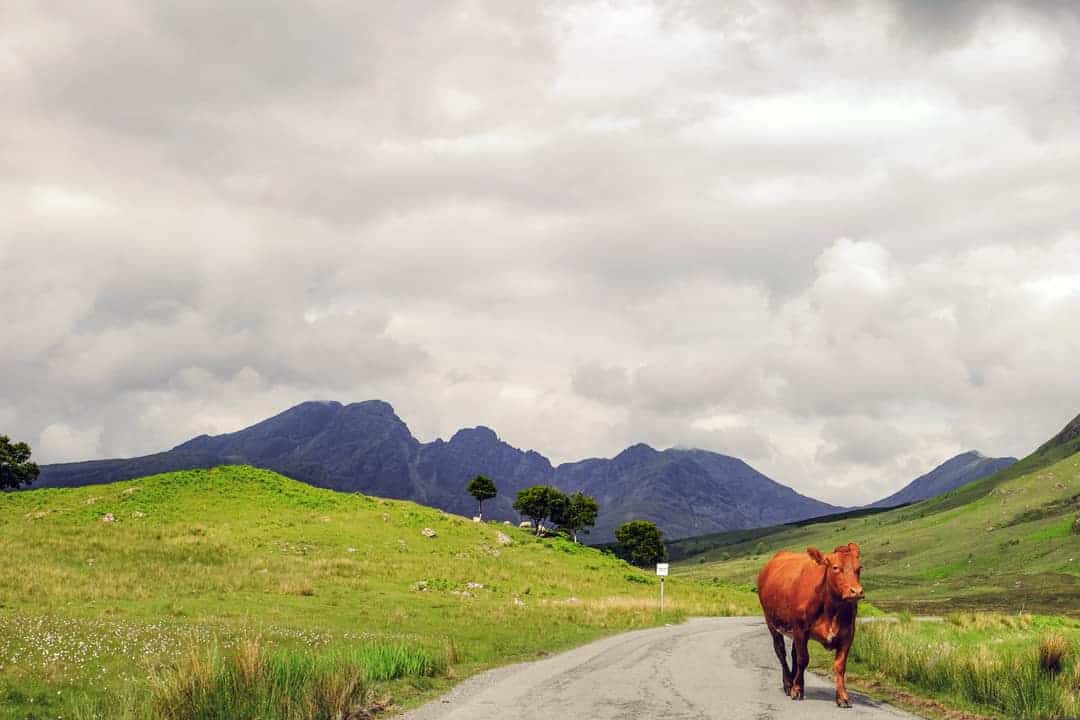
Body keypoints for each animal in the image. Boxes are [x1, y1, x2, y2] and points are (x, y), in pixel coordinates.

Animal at [756, 544, 864, 708]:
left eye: (859, 568)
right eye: (835, 567)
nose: (856, 591)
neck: (831, 611)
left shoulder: (848, 634)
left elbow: (840, 666)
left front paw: (843, 697)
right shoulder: (801, 630)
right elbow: (803, 659)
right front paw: (797, 689)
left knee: (793, 654)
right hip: (772, 623)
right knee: (781, 652)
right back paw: (788, 684)